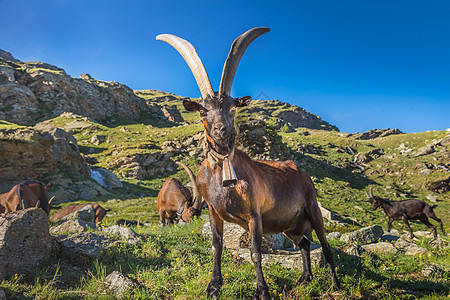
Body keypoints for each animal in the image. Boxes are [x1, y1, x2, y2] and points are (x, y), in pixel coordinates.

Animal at [156, 27, 340, 298]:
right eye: (202, 110)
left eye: (233, 107)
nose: (221, 130)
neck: (222, 176)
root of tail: (301, 173)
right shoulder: (214, 213)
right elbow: (216, 247)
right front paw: (213, 286)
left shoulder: (255, 215)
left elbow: (255, 252)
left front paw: (262, 291)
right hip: (291, 223)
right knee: (305, 244)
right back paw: (305, 279)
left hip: (312, 209)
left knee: (325, 247)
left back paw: (335, 285)